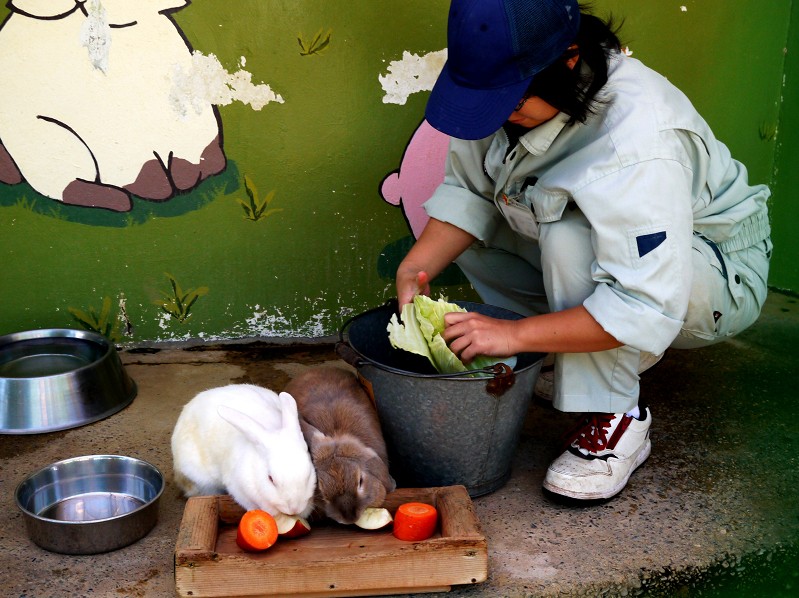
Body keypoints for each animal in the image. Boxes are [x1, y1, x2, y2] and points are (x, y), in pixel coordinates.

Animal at [0, 0, 225, 212]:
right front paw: (152, 183)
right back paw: (116, 198)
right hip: (51, 140)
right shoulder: (105, 129)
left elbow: (198, 147)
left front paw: (192, 170)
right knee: (66, 184)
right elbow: (133, 165)